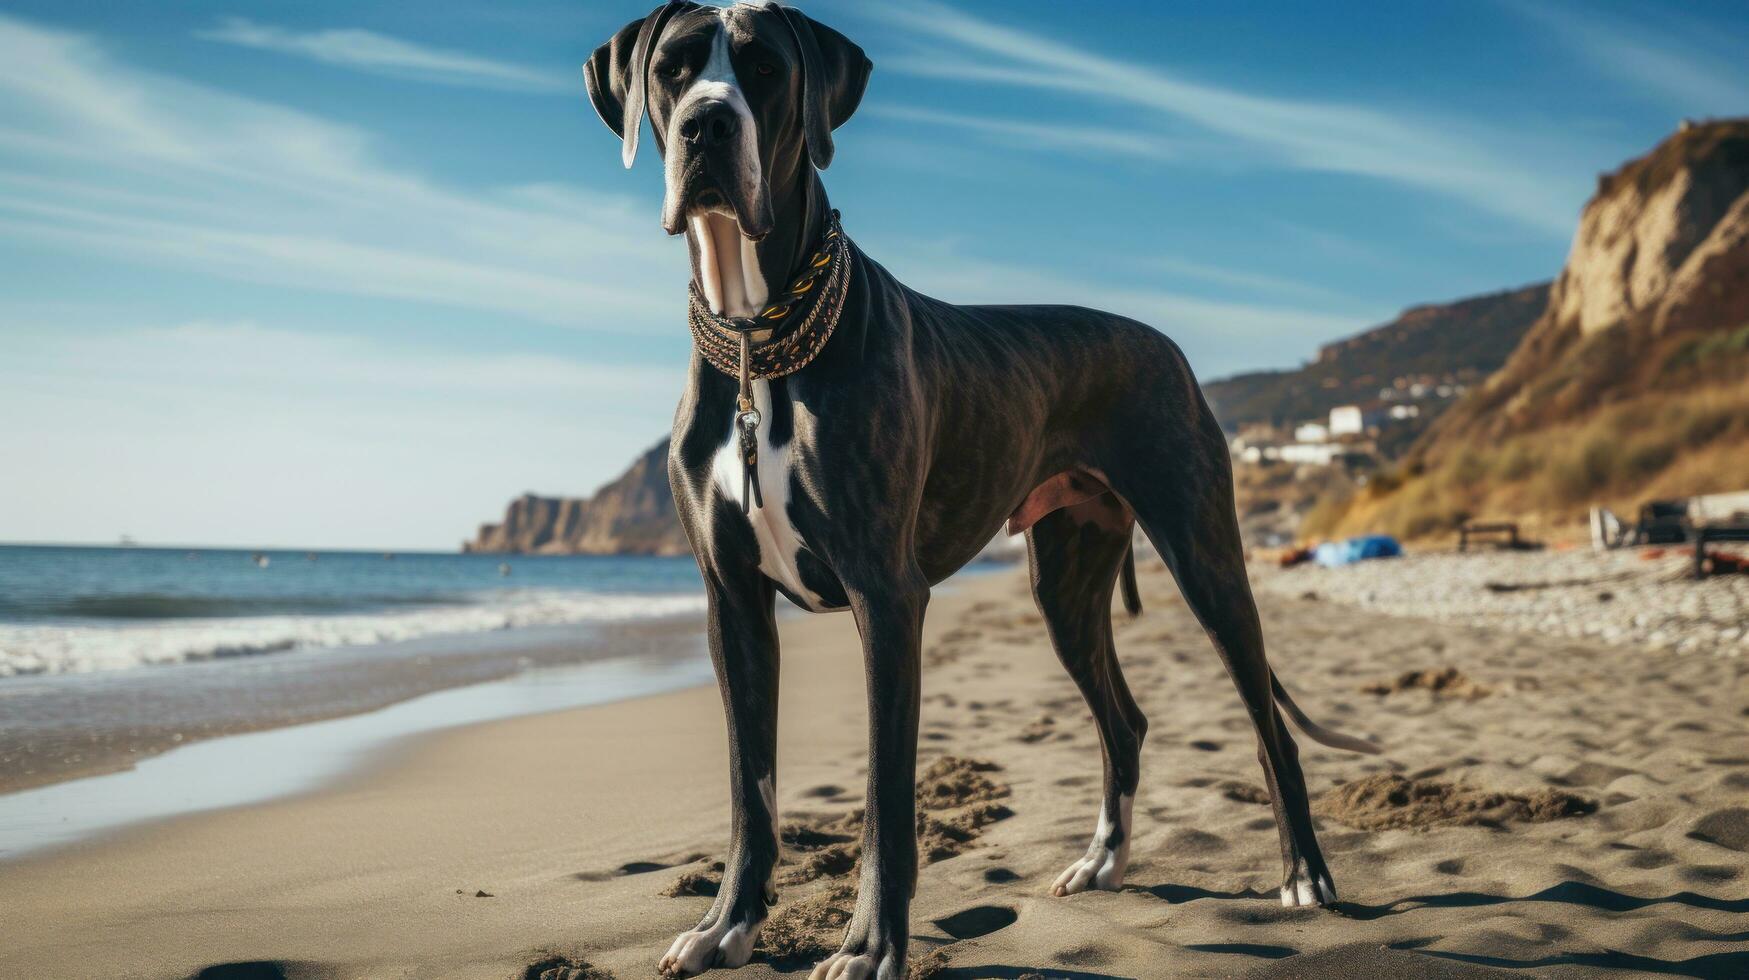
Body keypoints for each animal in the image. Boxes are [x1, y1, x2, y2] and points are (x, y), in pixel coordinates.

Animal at [587, 3, 1378, 973]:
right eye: (673, 68)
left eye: (765, 69)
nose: (707, 124)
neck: (756, 341)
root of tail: (1162, 343)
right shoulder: (730, 602)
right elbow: (749, 790)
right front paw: (725, 927)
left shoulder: (886, 597)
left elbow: (886, 798)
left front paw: (870, 946)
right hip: (1066, 582)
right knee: (1124, 720)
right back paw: (1101, 862)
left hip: (1204, 557)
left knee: (1267, 724)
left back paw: (1304, 874)